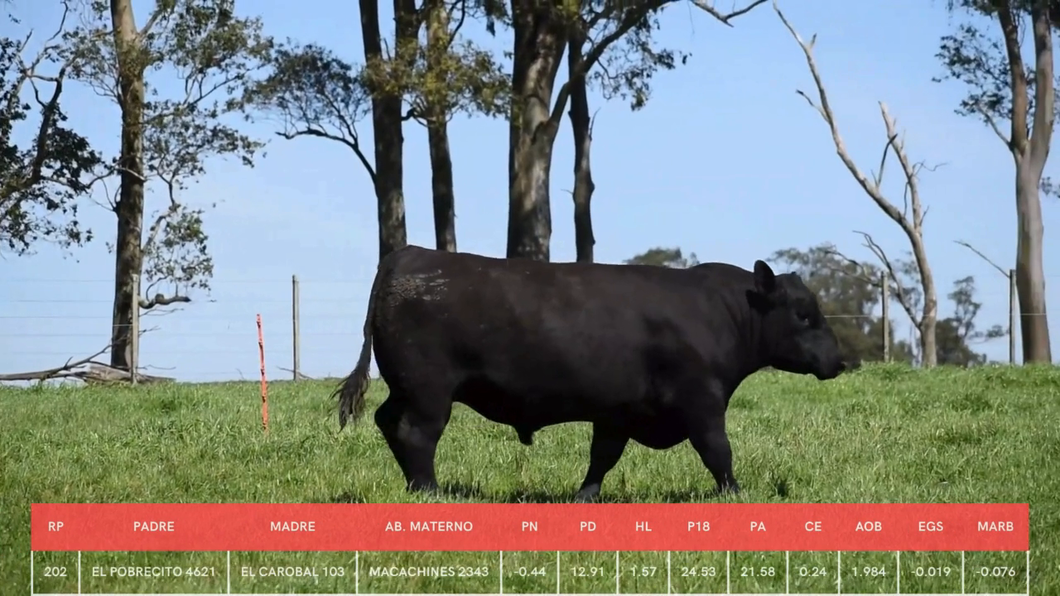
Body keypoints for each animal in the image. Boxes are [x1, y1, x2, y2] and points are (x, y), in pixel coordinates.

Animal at [334, 243, 856, 498]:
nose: (840, 360)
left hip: (406, 386)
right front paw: (735, 494)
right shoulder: (703, 401)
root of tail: (412, 253)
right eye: (804, 315)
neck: (720, 310)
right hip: (429, 389)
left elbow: (602, 457)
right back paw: (430, 491)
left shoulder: (618, 410)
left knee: (388, 423)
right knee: (417, 433)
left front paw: (585, 497)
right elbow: (718, 452)